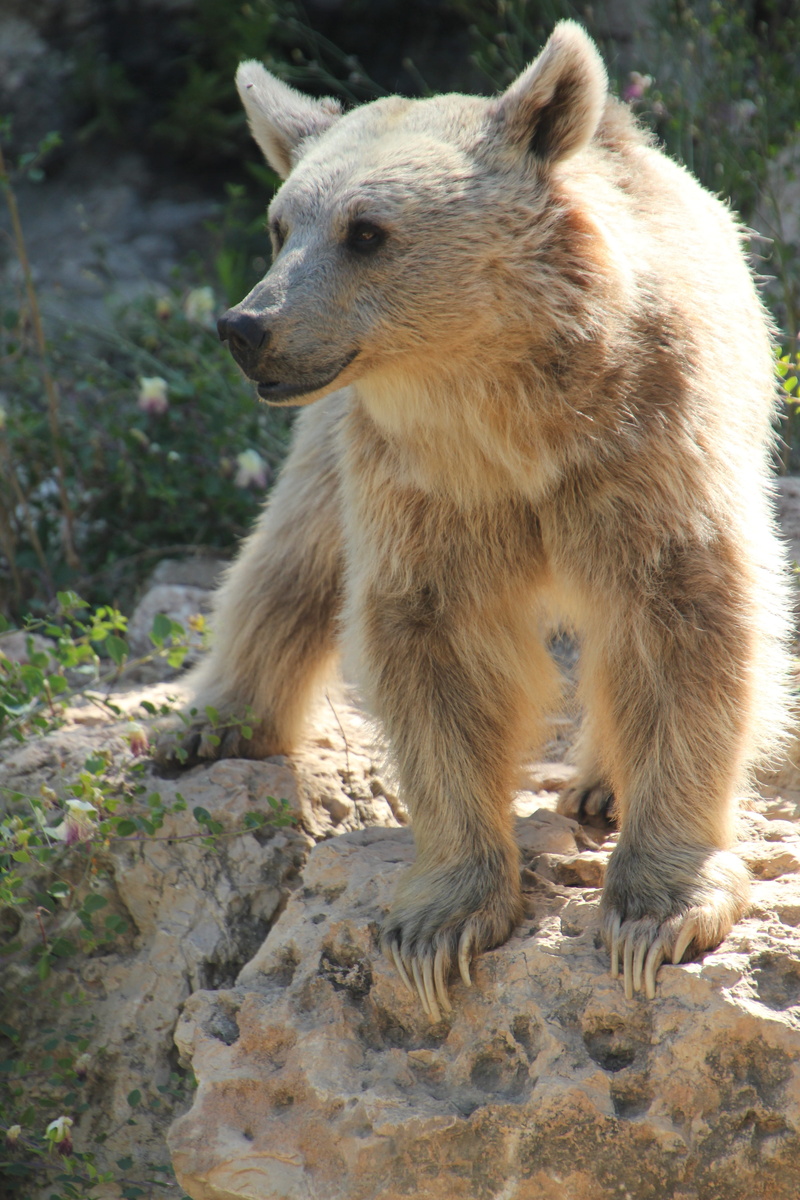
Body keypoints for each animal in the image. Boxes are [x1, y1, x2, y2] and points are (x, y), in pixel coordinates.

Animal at [159, 21, 792, 1016]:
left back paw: (600, 785)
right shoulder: (423, 489)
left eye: (367, 231)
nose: (246, 326)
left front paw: (655, 910)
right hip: (327, 440)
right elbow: (435, 648)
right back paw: (211, 722)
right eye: (278, 225)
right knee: (290, 557)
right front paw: (439, 923)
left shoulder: (647, 451)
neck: (509, 417)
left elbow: (682, 627)